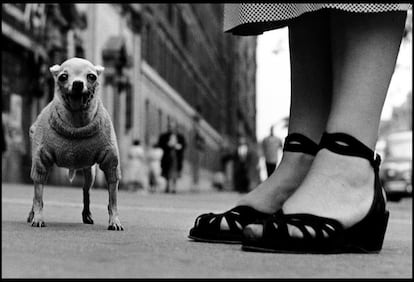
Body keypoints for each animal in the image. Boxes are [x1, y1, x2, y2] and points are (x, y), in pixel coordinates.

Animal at [28, 57, 123, 231]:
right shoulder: (40, 162)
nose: (78, 83)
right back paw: (31, 214)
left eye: (91, 76)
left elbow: (113, 199)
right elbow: (38, 196)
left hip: (89, 172)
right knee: (36, 192)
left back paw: (87, 214)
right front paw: (37, 217)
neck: (76, 122)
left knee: (86, 191)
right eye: (63, 77)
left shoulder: (111, 164)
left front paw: (114, 220)